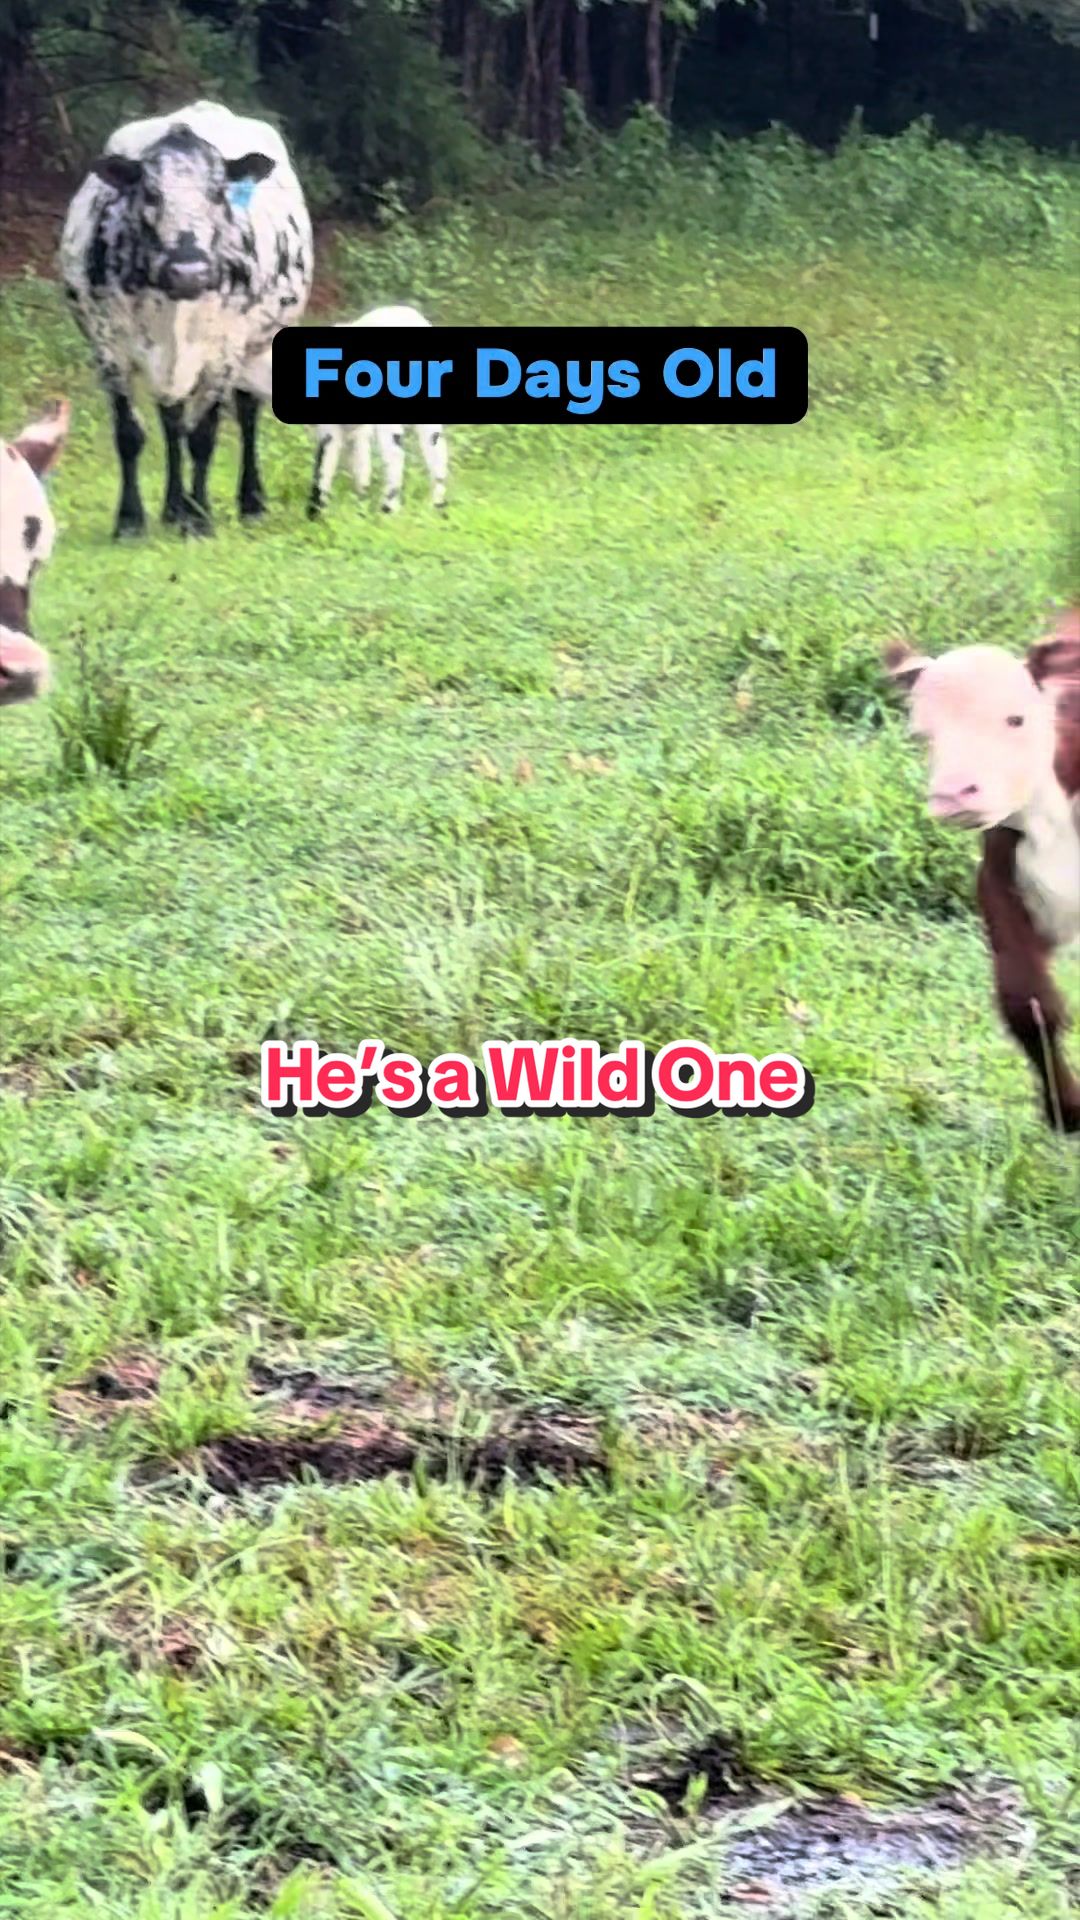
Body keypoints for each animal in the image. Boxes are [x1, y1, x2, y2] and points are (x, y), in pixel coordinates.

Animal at [59, 100, 312, 539]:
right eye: (150, 191)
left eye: (218, 191)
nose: (188, 271)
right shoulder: (108, 348)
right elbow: (130, 434)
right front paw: (131, 519)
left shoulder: (223, 352)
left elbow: (204, 436)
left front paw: (200, 518)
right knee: (171, 420)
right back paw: (172, 507)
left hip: (257, 344)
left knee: (246, 415)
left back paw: (250, 502)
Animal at [245, 304, 449, 519]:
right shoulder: (357, 431)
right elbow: (360, 466)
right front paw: (360, 504)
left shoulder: (330, 428)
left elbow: (325, 466)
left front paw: (316, 513)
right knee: (437, 451)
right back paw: (437, 505)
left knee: (395, 454)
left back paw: (388, 510)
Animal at [886, 612, 1080, 1134]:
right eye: (922, 735)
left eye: (1016, 718)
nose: (953, 793)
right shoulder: (1002, 877)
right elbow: (1028, 1002)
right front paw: (1066, 1112)